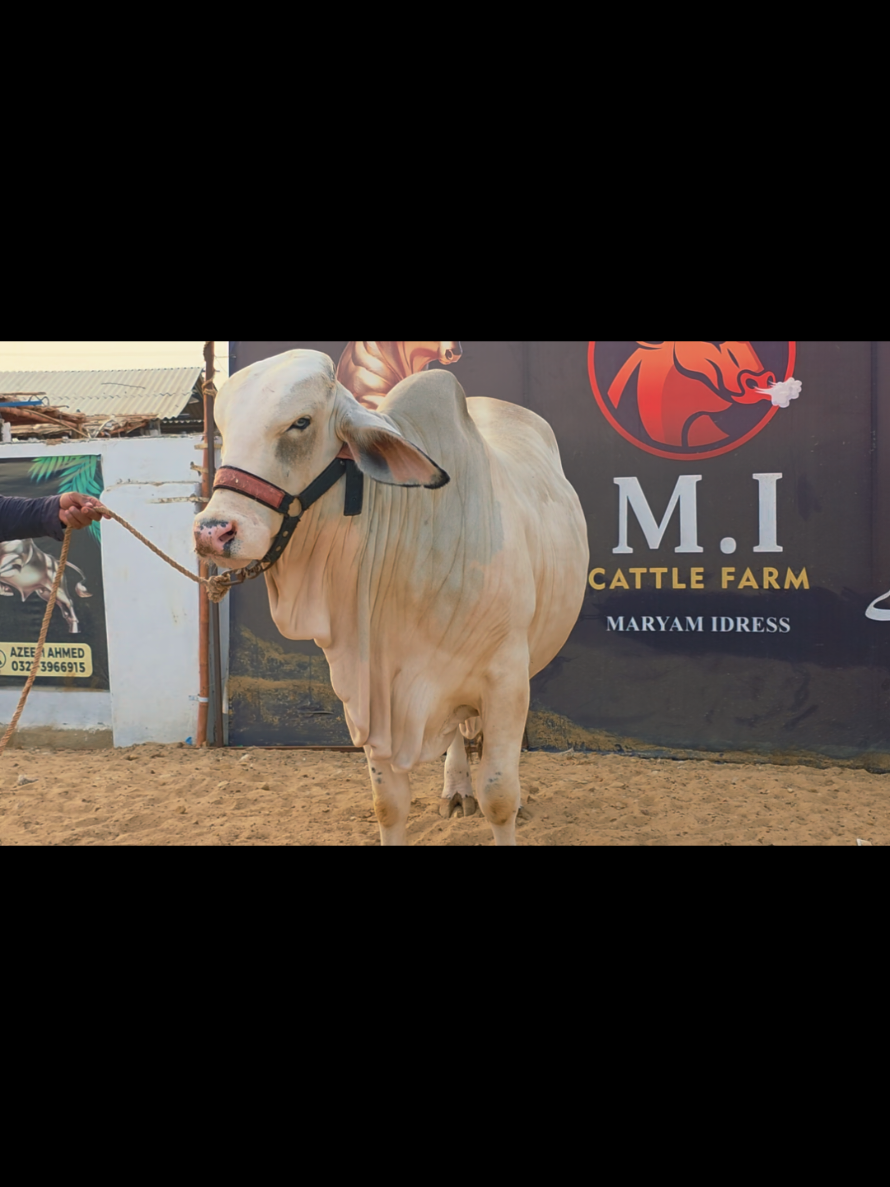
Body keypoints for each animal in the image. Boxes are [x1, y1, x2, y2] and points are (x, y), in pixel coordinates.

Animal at [194, 349, 588, 846]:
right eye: (222, 428)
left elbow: (500, 797)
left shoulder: (507, 680)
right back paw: (457, 789)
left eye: (301, 422)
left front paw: (507, 803)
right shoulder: (369, 686)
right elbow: (389, 804)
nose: (213, 531)